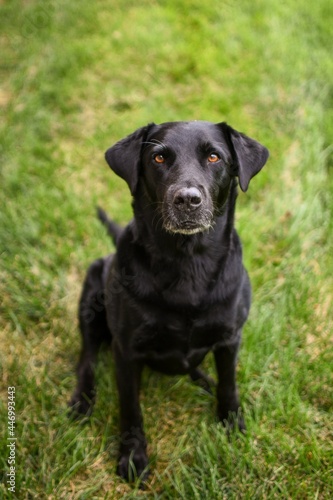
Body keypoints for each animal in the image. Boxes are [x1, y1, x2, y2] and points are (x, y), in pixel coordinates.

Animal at [68, 120, 268, 480]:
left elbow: (229, 384)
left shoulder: (230, 337)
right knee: (87, 356)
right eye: (159, 158)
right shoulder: (126, 351)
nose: (187, 199)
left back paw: (203, 379)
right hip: (91, 295)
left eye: (214, 157)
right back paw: (82, 399)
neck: (187, 263)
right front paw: (132, 457)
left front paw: (232, 422)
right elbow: (130, 408)